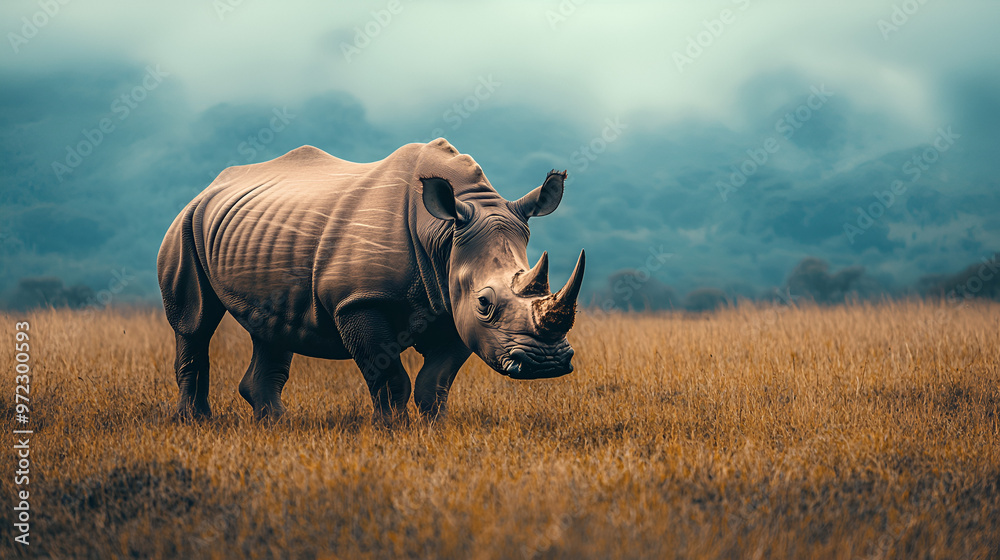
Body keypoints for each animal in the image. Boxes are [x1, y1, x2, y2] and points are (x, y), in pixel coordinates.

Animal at [157, 138, 585, 424]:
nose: (546, 364)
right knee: (194, 323)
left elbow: (436, 381)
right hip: (186, 222)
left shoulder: (452, 305)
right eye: (485, 302)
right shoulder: (358, 300)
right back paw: (197, 423)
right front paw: (392, 431)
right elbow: (388, 375)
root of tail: (210, 186)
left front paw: (437, 429)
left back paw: (275, 424)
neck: (443, 235)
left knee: (271, 325)